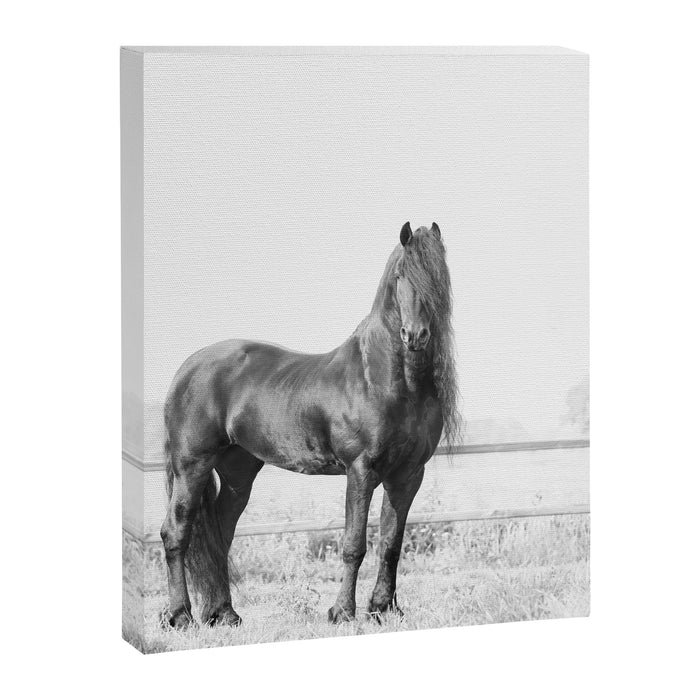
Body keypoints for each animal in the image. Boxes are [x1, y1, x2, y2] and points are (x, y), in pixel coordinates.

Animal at [160, 221, 460, 628]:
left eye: (437, 277)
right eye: (401, 275)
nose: (415, 336)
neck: (385, 380)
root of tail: (188, 369)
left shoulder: (408, 474)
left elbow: (391, 544)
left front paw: (384, 609)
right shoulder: (361, 470)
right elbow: (354, 544)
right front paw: (342, 612)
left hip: (238, 472)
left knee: (220, 535)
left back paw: (225, 613)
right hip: (191, 465)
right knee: (176, 532)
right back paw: (180, 616)